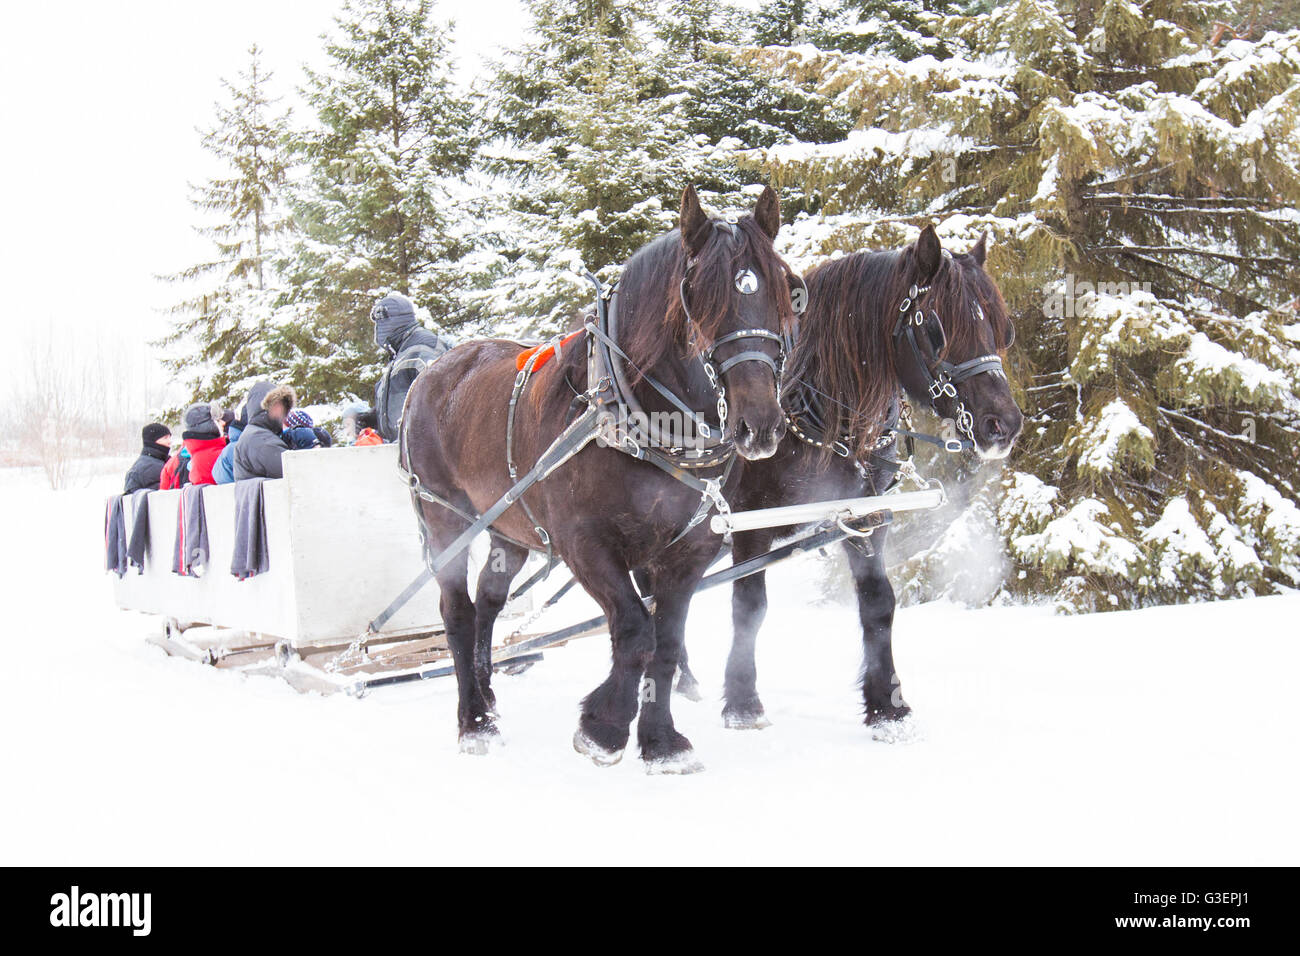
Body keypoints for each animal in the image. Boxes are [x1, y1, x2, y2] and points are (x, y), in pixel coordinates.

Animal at [403, 184, 790, 770]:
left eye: (785, 290)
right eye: (699, 296)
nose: (759, 424)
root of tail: (429, 373)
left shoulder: (690, 548)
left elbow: (666, 643)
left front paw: (661, 742)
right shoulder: (585, 543)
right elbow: (634, 630)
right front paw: (603, 728)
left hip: (508, 529)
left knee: (489, 602)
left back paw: (488, 695)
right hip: (445, 520)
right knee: (458, 612)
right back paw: (474, 722)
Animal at [696, 227, 1019, 738]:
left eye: (1002, 327)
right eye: (936, 328)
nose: (1003, 425)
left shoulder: (864, 517)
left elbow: (878, 603)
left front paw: (888, 704)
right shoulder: (749, 523)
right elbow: (749, 607)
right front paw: (743, 703)